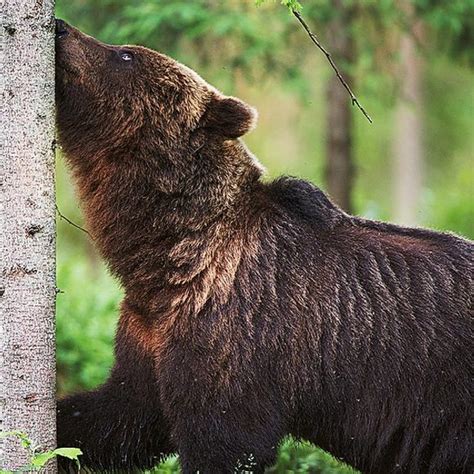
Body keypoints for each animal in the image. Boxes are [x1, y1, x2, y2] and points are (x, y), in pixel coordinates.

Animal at [53, 19, 472, 474]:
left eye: (125, 54)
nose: (60, 27)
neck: (170, 254)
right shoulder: (151, 334)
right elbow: (121, 415)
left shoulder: (236, 332)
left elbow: (224, 440)